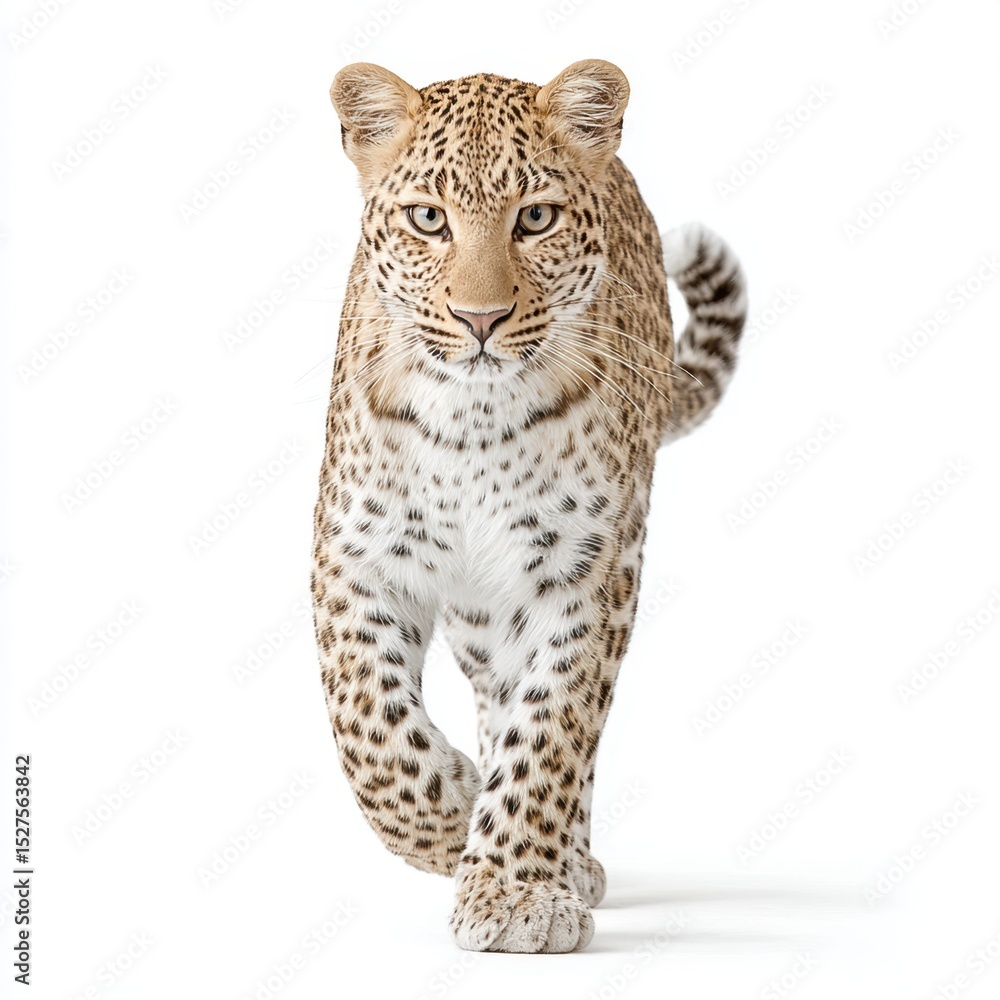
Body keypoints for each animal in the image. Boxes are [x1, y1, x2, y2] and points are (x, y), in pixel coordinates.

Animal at [311, 58, 747, 953]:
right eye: (429, 219)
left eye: (535, 218)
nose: (481, 319)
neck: (475, 422)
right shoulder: (357, 558)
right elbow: (373, 735)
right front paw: (455, 815)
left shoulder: (588, 572)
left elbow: (552, 730)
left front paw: (514, 888)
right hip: (479, 614)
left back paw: (565, 859)